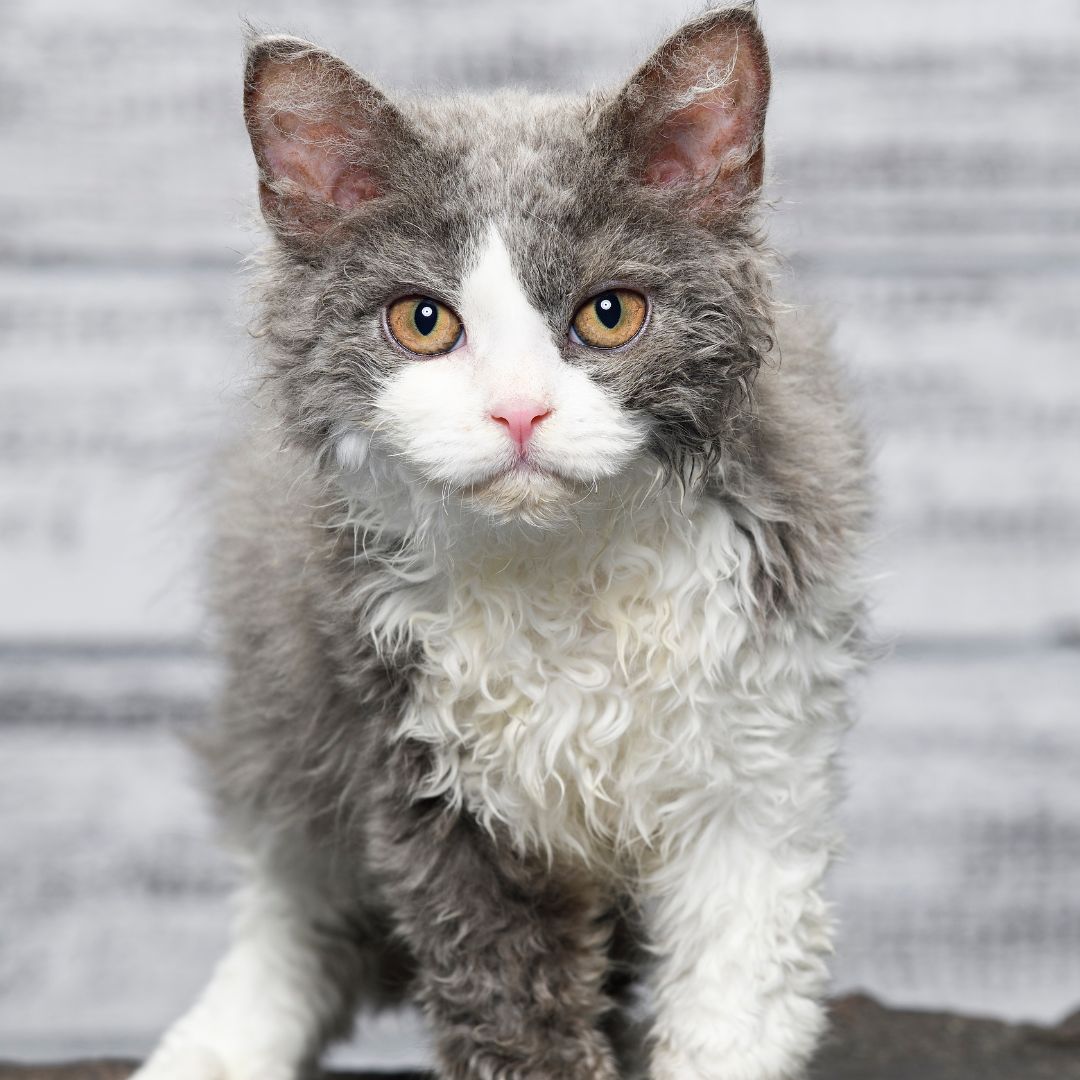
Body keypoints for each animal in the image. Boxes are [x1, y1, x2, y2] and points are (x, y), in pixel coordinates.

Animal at [132, 8, 868, 1080]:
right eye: (422, 322)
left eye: (610, 314)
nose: (519, 412)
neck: (565, 577)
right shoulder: (423, 772)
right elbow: (508, 1000)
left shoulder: (760, 756)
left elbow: (737, 998)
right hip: (285, 709)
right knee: (294, 907)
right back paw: (216, 1045)